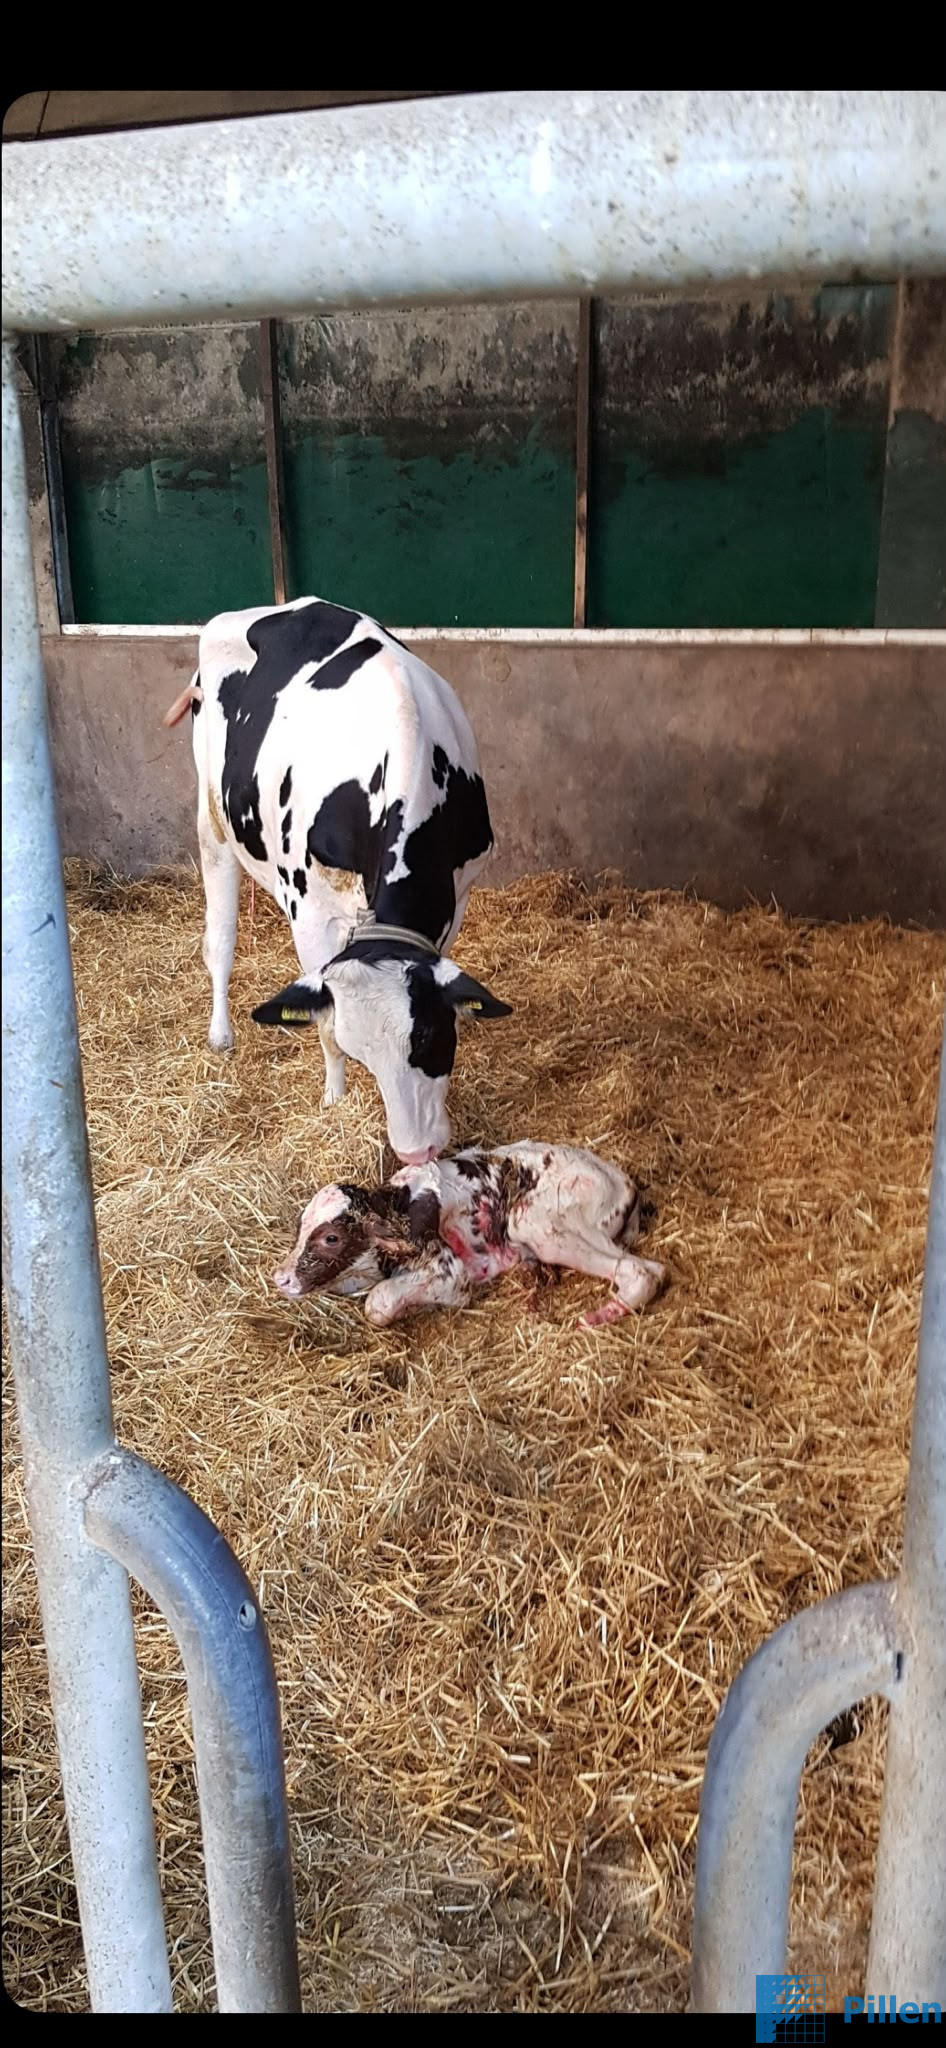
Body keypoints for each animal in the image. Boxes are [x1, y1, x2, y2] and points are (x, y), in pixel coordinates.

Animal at [165, 598, 511, 1163]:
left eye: (431, 1037)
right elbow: (322, 1020)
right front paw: (335, 1099)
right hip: (212, 818)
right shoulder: (311, 911)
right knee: (219, 938)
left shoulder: (456, 895)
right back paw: (220, 1034)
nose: (415, 1153)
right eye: (360, 1050)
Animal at [271, 1142, 668, 1329]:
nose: (281, 1278)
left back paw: (597, 1316)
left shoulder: (449, 1269)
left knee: (643, 1271)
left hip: (539, 1223)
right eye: (300, 1228)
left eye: (332, 1238)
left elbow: (379, 1302)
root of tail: (623, 1181)